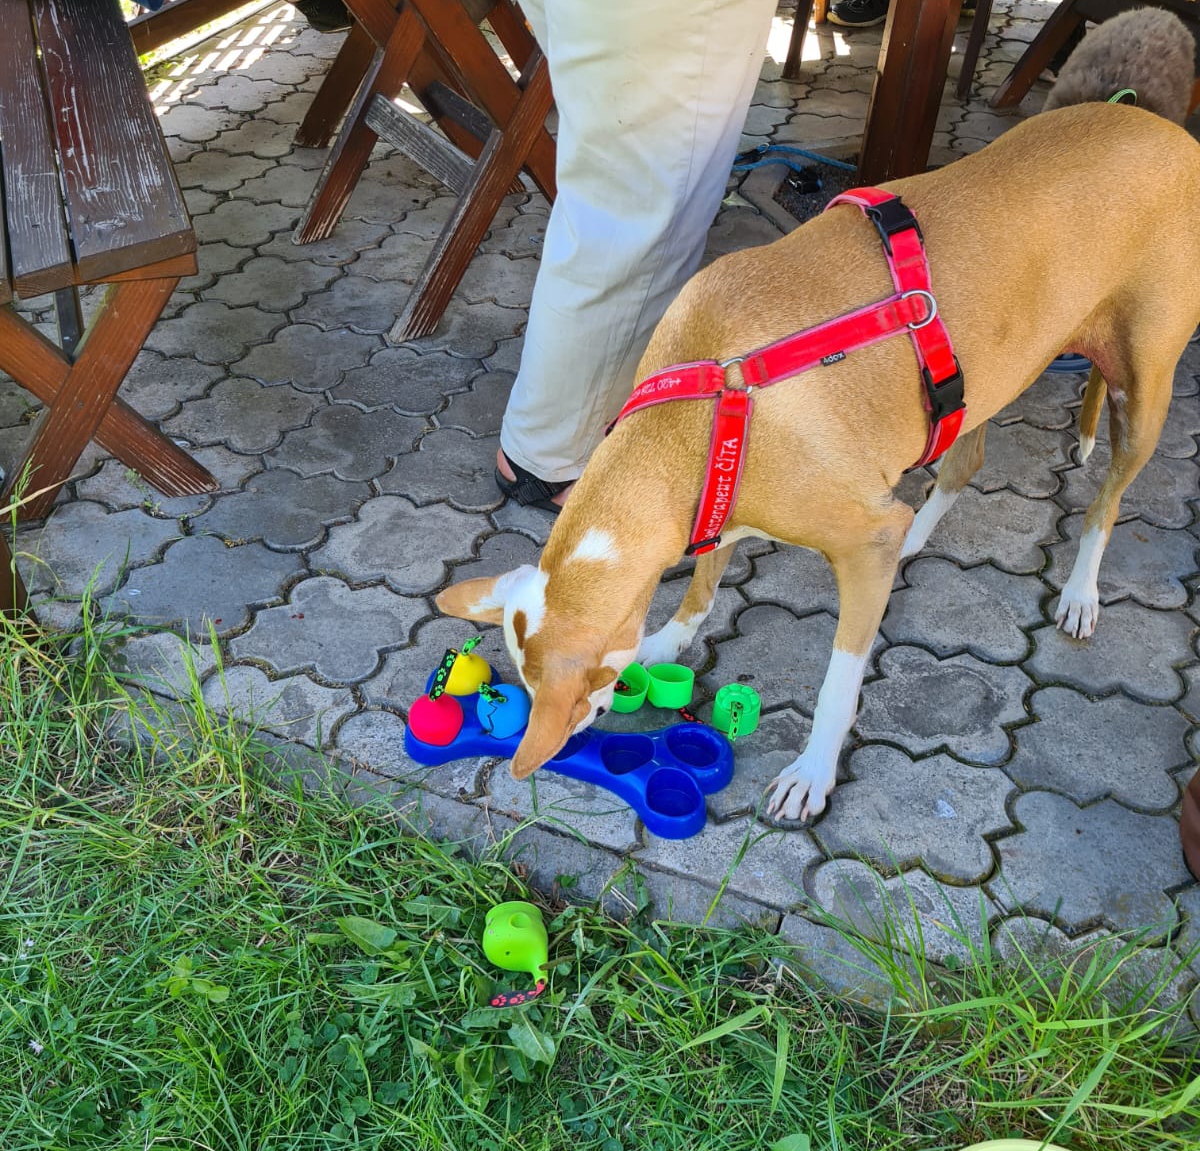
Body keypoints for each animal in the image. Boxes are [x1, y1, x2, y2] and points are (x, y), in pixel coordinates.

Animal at [436, 70, 1200, 824]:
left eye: (583, 689)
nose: (561, 743)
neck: (704, 408)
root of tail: (1163, 127)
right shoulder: (721, 502)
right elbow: (702, 586)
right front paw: (668, 639)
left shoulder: (859, 543)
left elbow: (839, 680)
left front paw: (812, 771)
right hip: (982, 375)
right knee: (966, 458)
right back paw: (922, 531)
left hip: (1144, 391)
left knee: (1108, 498)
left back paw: (1079, 591)